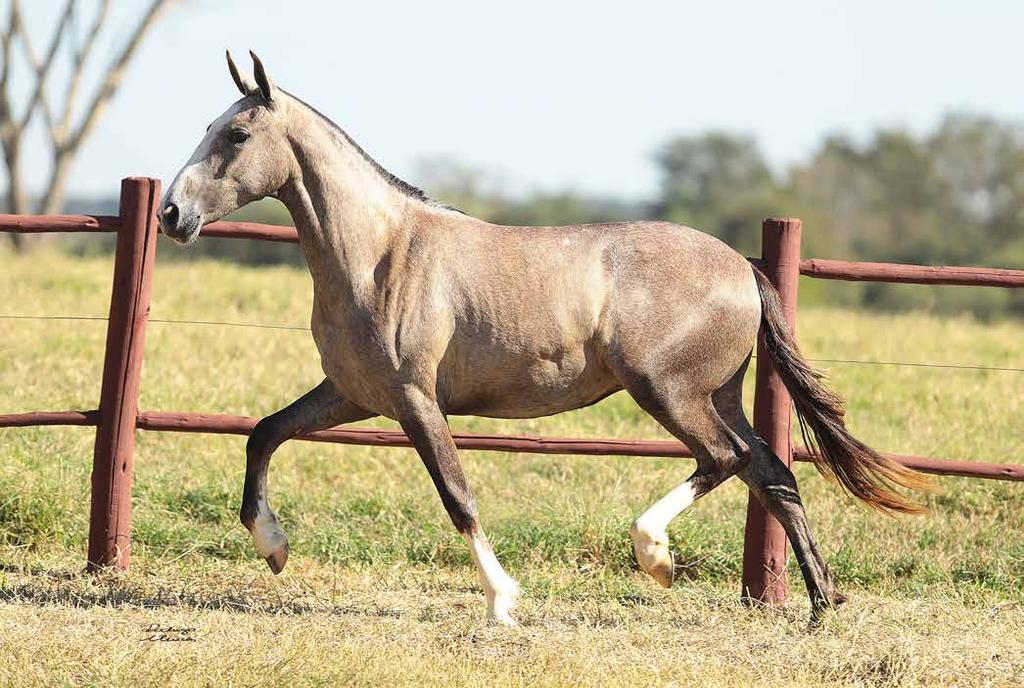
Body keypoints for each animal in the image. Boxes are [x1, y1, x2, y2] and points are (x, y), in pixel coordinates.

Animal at [159, 51, 929, 626]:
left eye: (235, 136)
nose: (171, 213)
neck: (380, 254)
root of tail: (745, 267)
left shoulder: (414, 399)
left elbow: (457, 494)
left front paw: (503, 601)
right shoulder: (353, 394)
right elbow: (264, 433)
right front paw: (273, 546)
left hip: (668, 392)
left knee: (726, 459)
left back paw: (656, 556)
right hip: (718, 394)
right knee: (772, 471)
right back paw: (821, 604)